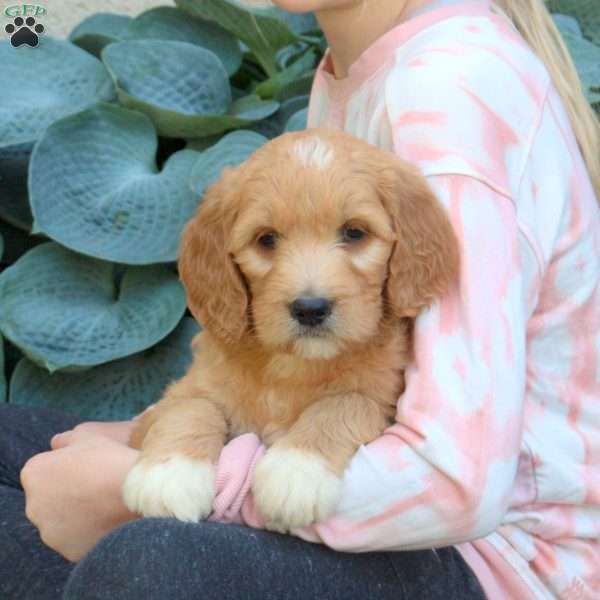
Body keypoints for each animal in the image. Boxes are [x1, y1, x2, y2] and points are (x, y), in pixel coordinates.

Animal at [123, 129, 460, 532]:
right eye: (266, 239)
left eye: (354, 232)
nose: (310, 309)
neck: (293, 366)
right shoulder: (175, 398)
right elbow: (189, 406)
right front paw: (169, 473)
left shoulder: (385, 401)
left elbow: (347, 402)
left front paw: (296, 471)